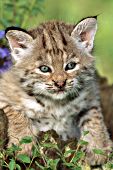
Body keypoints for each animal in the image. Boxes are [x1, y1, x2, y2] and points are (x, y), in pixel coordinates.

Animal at [0, 16, 112, 165]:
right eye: (44, 69)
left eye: (70, 66)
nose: (60, 83)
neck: (56, 103)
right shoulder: (3, 92)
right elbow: (17, 112)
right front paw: (22, 144)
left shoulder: (90, 96)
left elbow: (94, 118)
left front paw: (99, 148)